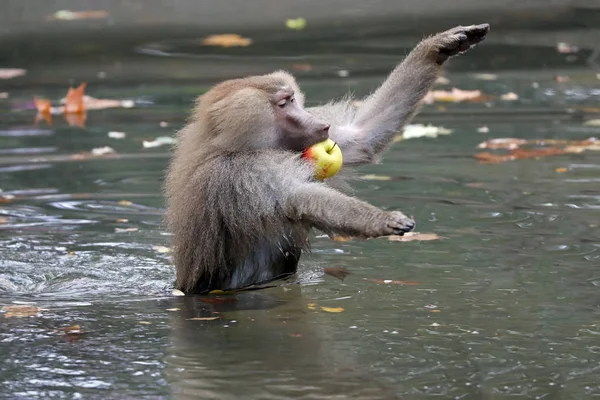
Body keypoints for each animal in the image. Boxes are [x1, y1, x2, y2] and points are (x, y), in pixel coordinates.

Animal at [163, 24, 488, 294]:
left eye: (293, 99)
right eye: (284, 104)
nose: (321, 124)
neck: (230, 144)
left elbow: (362, 137)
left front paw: (439, 46)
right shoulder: (249, 172)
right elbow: (300, 196)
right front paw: (384, 220)